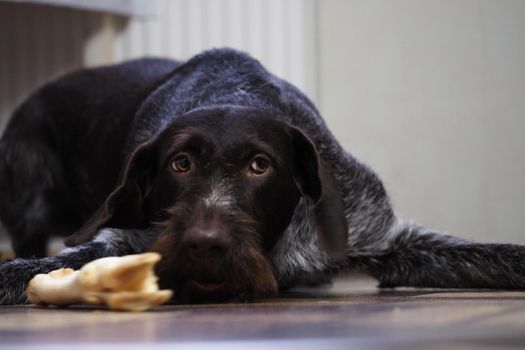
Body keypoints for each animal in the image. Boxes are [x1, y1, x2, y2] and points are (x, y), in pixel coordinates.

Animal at [1, 47, 524, 304]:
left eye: (261, 165)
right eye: (179, 164)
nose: (205, 243)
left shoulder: (386, 236)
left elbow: (503, 256)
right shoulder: (124, 240)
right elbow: (38, 268)